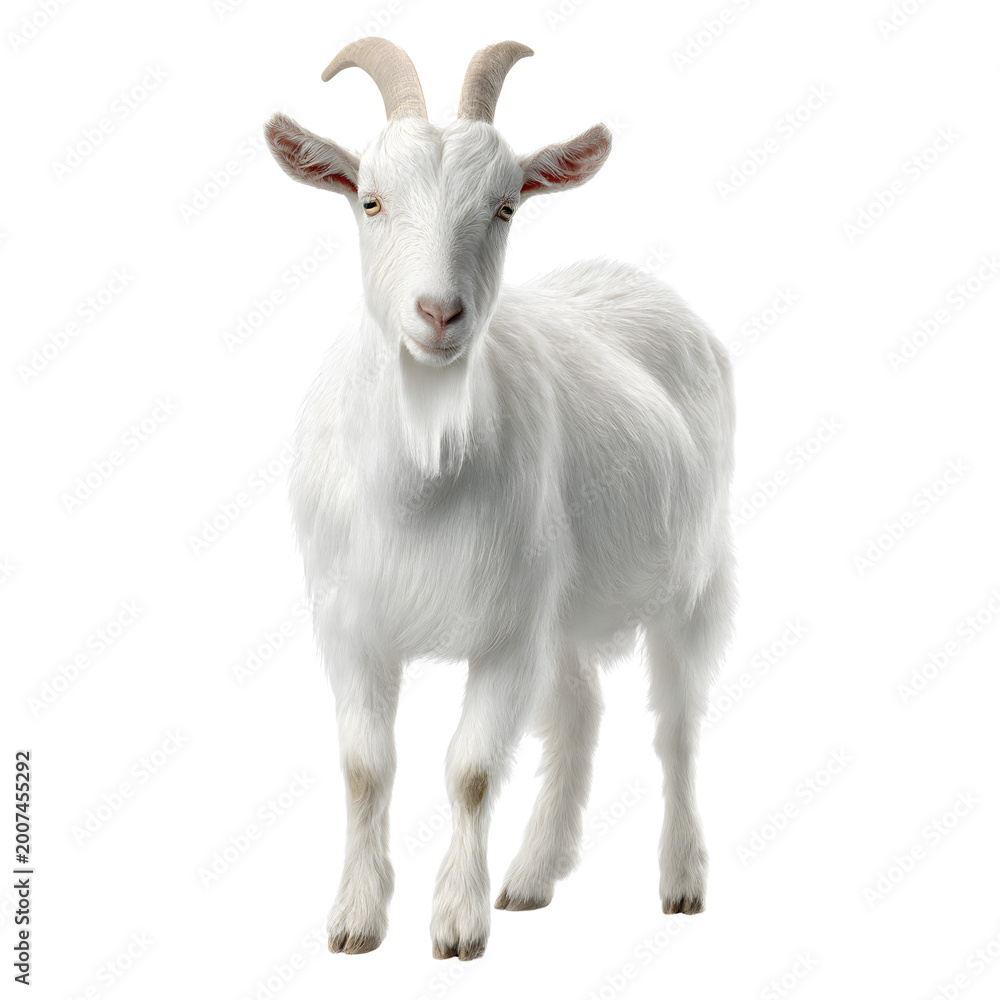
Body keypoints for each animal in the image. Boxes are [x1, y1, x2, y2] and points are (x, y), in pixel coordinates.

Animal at [264, 37, 736, 961]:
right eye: (369, 200)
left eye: (507, 206)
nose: (438, 313)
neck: (421, 483)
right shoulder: (350, 620)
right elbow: (366, 766)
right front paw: (354, 920)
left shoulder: (510, 626)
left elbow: (473, 770)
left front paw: (456, 924)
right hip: (570, 604)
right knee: (582, 710)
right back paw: (532, 876)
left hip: (693, 582)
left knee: (678, 727)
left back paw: (682, 881)